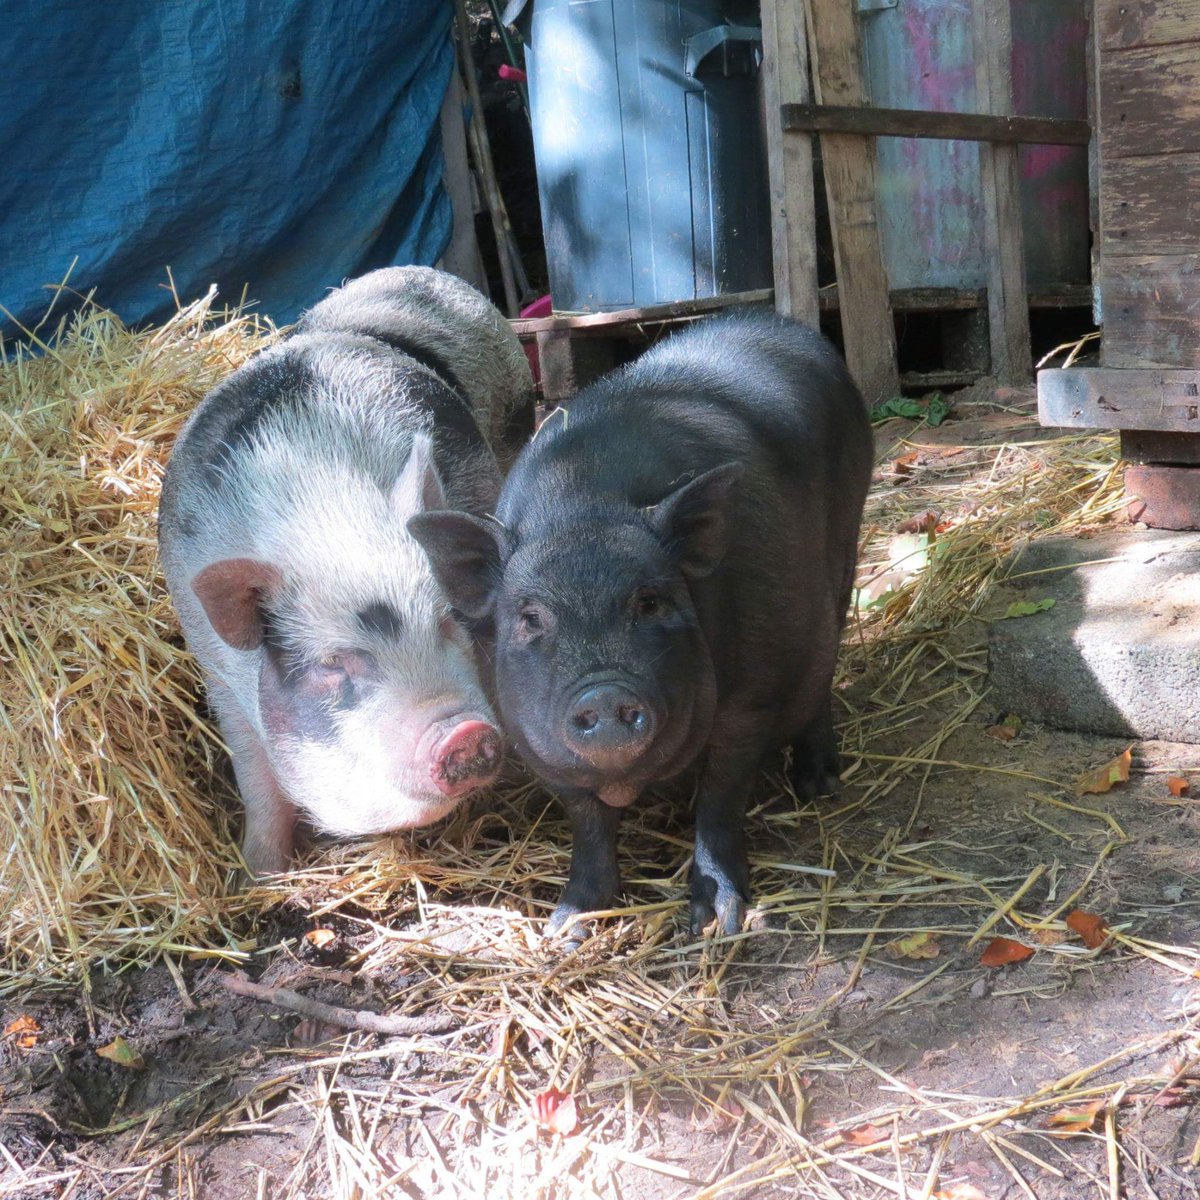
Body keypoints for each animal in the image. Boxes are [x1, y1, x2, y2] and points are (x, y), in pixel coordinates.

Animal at [158, 267, 534, 876]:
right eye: (333, 663)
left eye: (448, 621)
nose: (463, 732)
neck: (327, 519)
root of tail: (414, 273)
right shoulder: (218, 676)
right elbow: (258, 785)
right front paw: (259, 876)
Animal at [409, 310, 872, 936]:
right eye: (530, 618)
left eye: (650, 601)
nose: (604, 693)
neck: (582, 506)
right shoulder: (535, 743)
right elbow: (587, 822)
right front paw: (568, 927)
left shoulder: (751, 697)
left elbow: (721, 795)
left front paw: (716, 922)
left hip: (846, 543)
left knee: (825, 665)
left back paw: (820, 785)